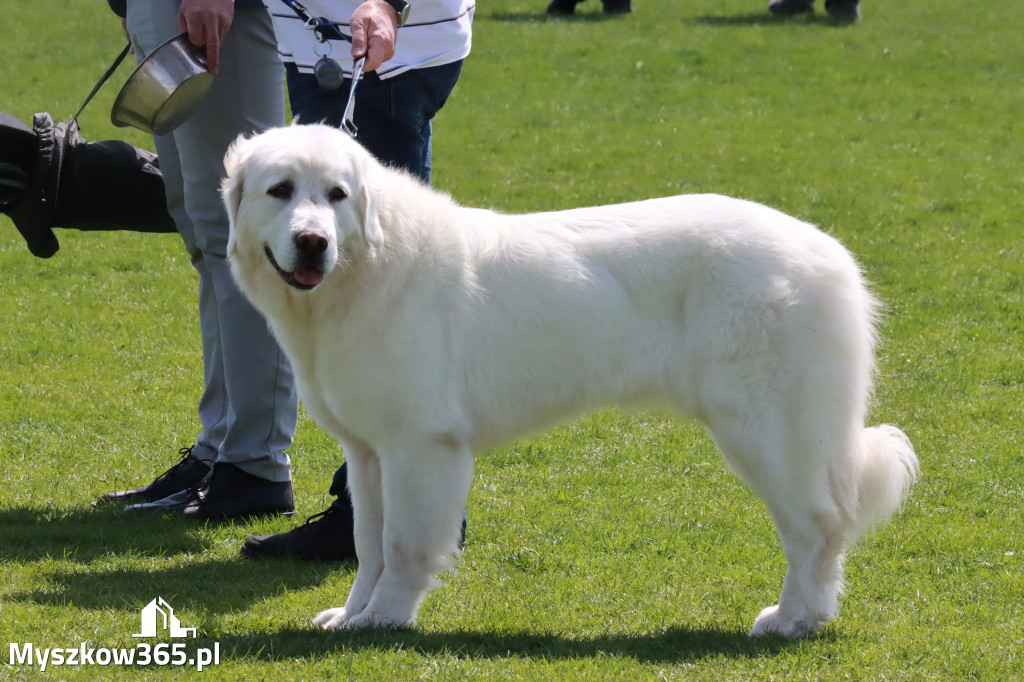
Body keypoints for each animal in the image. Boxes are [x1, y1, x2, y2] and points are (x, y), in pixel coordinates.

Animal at [220, 123, 917, 638]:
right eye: (281, 190)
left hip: (766, 431)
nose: (313, 242)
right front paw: (351, 615)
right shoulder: (369, 452)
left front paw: (385, 620)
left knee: (817, 528)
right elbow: (369, 542)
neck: (364, 269)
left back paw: (794, 619)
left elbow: (405, 546)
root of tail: (830, 253)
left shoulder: (420, 447)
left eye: (337, 195)